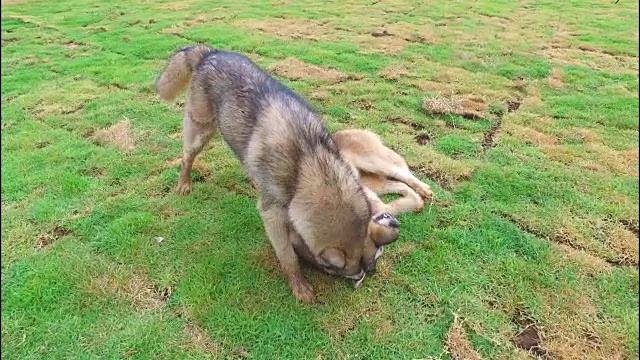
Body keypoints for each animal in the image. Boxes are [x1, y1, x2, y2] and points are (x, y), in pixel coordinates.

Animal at [154, 45, 400, 304]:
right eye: (339, 272)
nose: (371, 271)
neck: (307, 160)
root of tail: (209, 52)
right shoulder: (272, 215)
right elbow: (288, 257)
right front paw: (299, 285)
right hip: (200, 130)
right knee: (187, 157)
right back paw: (184, 183)